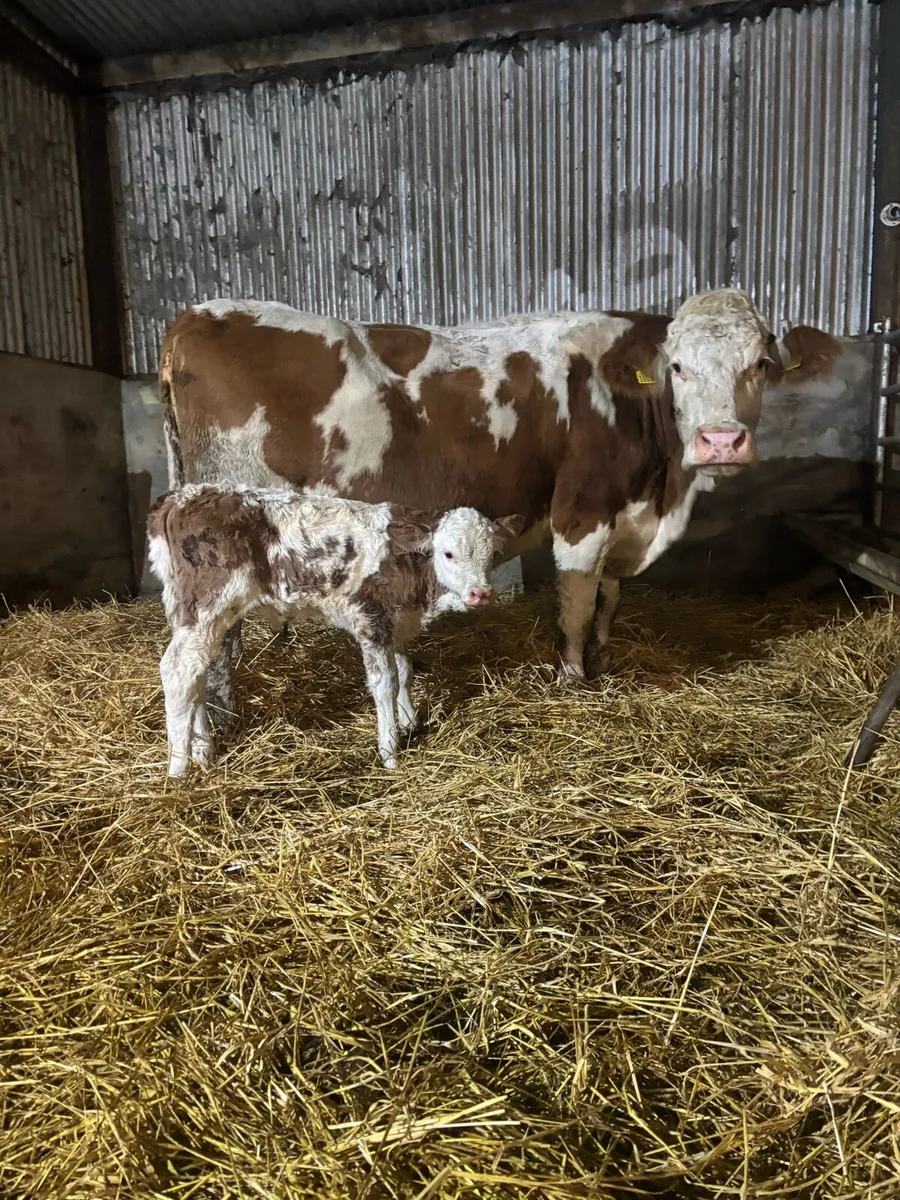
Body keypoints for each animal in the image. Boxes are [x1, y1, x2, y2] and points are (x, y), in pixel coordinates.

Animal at [148, 483, 524, 775]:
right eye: (448, 554)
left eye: (492, 555)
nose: (480, 594)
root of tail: (179, 496)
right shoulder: (371, 622)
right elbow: (385, 683)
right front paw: (390, 751)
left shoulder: (397, 624)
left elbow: (405, 670)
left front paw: (411, 721)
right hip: (209, 605)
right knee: (179, 671)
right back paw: (179, 769)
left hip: (197, 614)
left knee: (197, 674)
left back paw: (203, 751)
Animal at [159, 290, 842, 724]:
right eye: (678, 366)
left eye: (760, 365)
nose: (721, 440)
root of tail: (194, 316)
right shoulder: (583, 512)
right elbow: (576, 602)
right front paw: (573, 678)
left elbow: (609, 599)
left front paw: (605, 654)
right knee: (212, 642)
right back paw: (222, 723)